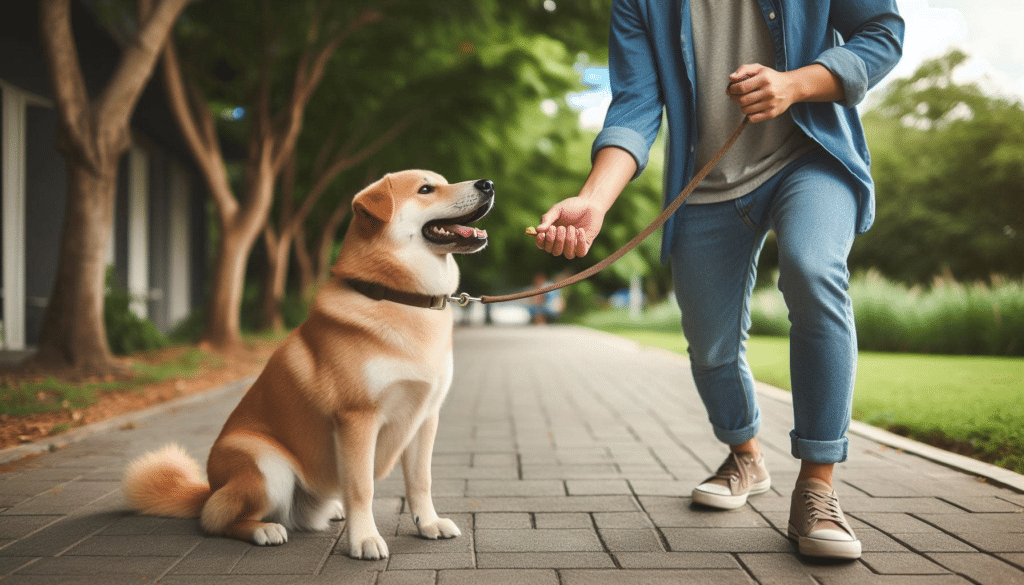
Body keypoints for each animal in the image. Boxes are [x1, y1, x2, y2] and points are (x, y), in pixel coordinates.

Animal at [121, 169, 497, 557]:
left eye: (443, 181)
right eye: (425, 189)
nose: (488, 185)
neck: (400, 298)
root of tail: (210, 487)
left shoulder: (425, 417)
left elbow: (421, 480)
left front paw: (429, 524)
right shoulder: (357, 419)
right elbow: (362, 487)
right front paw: (364, 539)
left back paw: (328, 511)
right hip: (267, 465)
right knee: (217, 519)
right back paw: (263, 530)